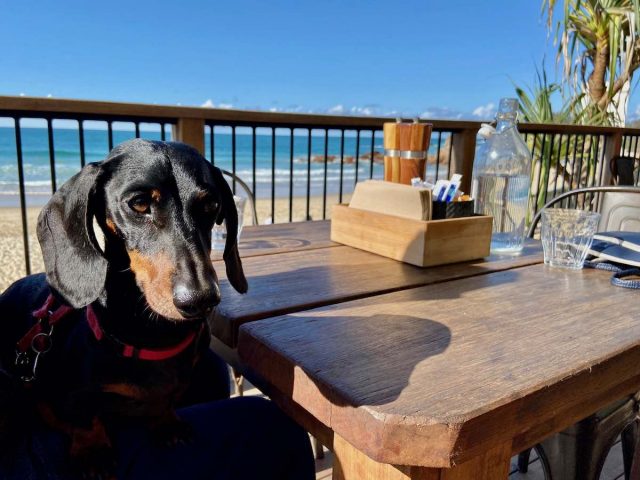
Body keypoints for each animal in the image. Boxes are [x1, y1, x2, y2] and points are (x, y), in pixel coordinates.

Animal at [0, 139, 248, 476]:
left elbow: (166, 401)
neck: (152, 335)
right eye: (140, 204)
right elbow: (83, 418)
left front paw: (166, 422)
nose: (200, 300)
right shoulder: (65, 396)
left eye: (210, 205)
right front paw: (93, 450)